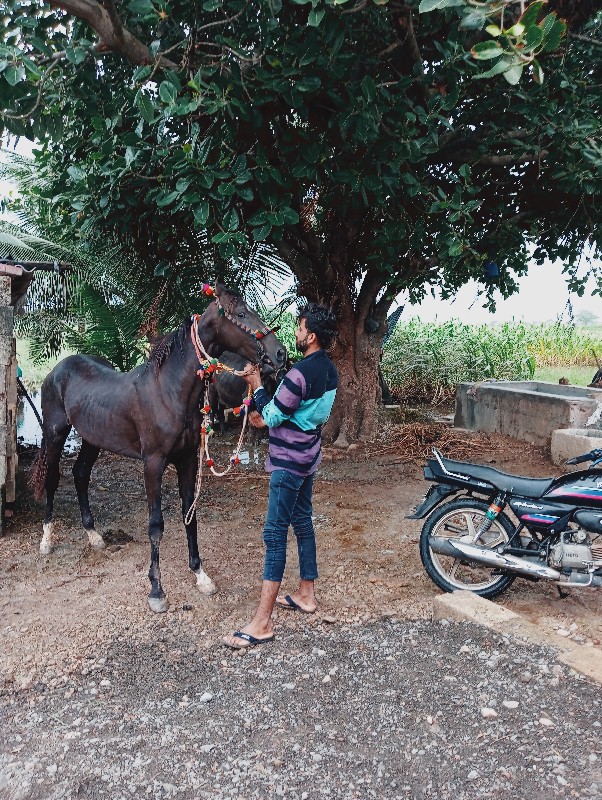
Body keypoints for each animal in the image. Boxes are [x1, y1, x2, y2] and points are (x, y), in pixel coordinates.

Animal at [31, 288, 286, 612]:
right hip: (54, 435)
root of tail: (57, 370)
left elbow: (190, 516)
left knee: (80, 475)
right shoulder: (152, 464)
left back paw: (94, 536)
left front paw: (201, 576)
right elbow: (155, 525)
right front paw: (156, 590)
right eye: (240, 314)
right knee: (52, 480)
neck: (167, 391)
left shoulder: (187, 461)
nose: (280, 353)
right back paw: (47, 540)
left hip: (92, 439)